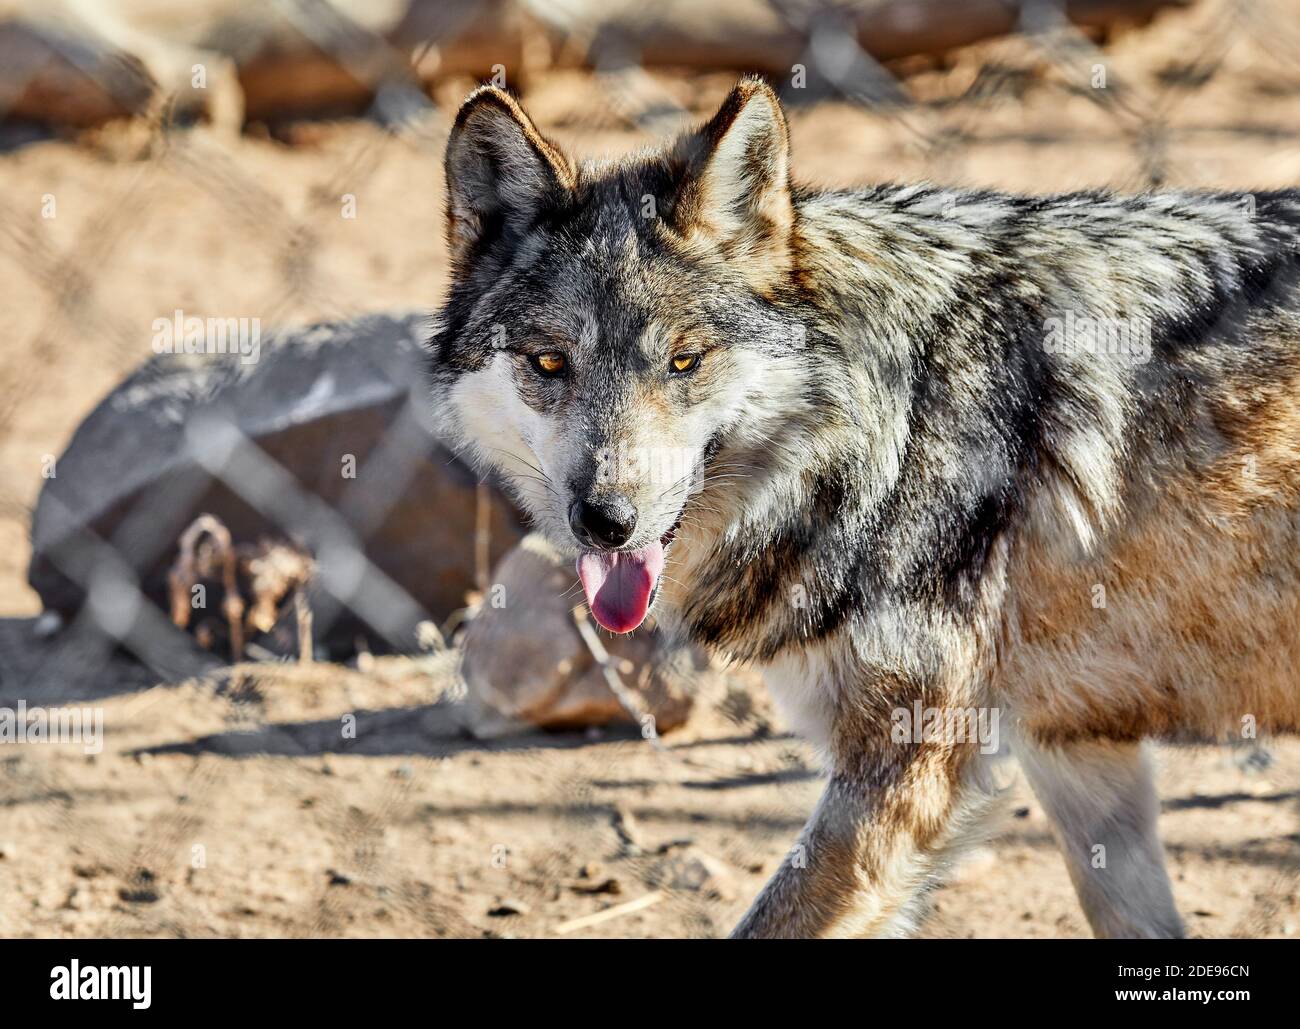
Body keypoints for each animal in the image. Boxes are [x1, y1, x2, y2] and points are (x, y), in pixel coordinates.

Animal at [428, 76, 1300, 935]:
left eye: (684, 361)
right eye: (550, 362)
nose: (606, 520)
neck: (886, 421)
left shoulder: (909, 766)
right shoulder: (1075, 745)